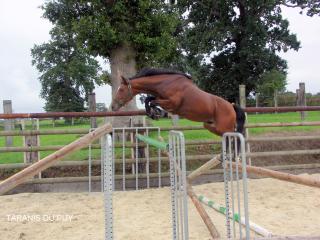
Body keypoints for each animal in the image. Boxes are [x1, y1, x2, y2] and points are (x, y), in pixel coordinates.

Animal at [110, 67, 245, 137]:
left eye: (121, 89)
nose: (113, 106)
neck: (165, 83)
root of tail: (231, 106)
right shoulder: (161, 98)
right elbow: (149, 100)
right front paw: (153, 113)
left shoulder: (172, 104)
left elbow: (153, 102)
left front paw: (156, 113)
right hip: (214, 126)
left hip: (224, 128)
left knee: (236, 136)